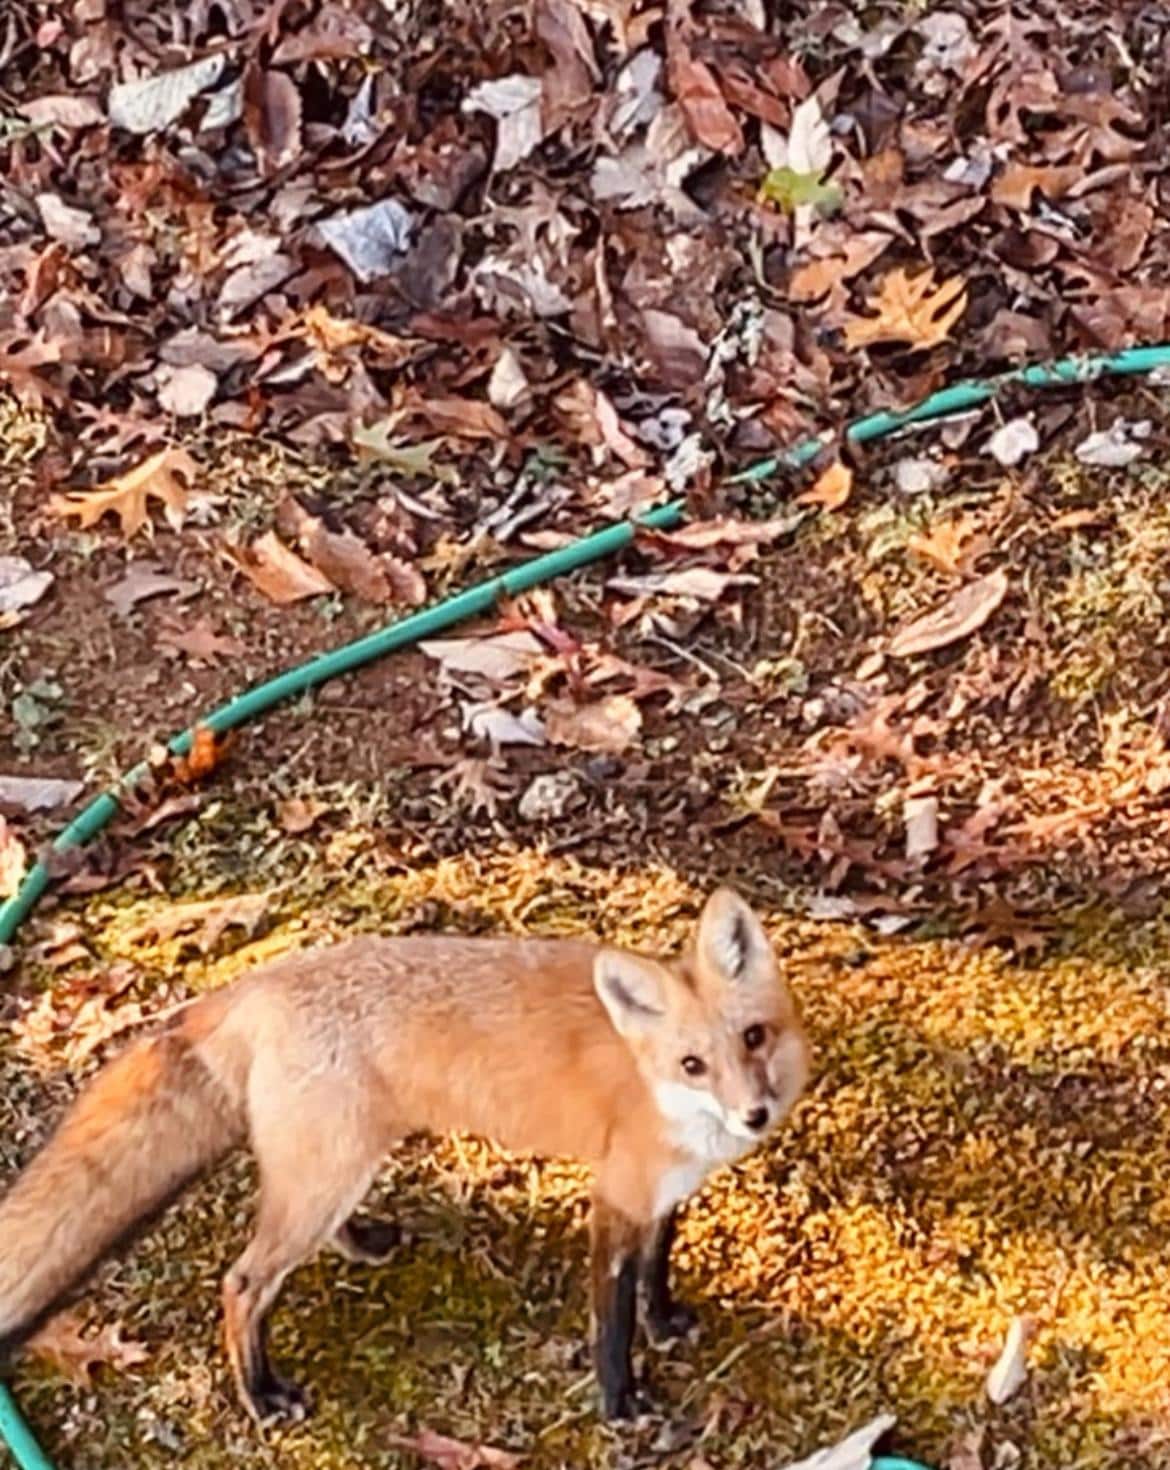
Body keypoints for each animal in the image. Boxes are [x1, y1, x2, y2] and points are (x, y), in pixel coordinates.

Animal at [0, 886, 809, 1424]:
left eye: (754, 1038)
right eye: (692, 1065)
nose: (754, 1115)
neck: (663, 1097)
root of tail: (256, 984)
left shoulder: (661, 1194)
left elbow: (653, 1271)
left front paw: (665, 1324)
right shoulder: (616, 1196)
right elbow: (610, 1319)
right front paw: (622, 1404)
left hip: (338, 1169)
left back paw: (362, 1244)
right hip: (326, 1177)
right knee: (241, 1284)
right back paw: (262, 1396)